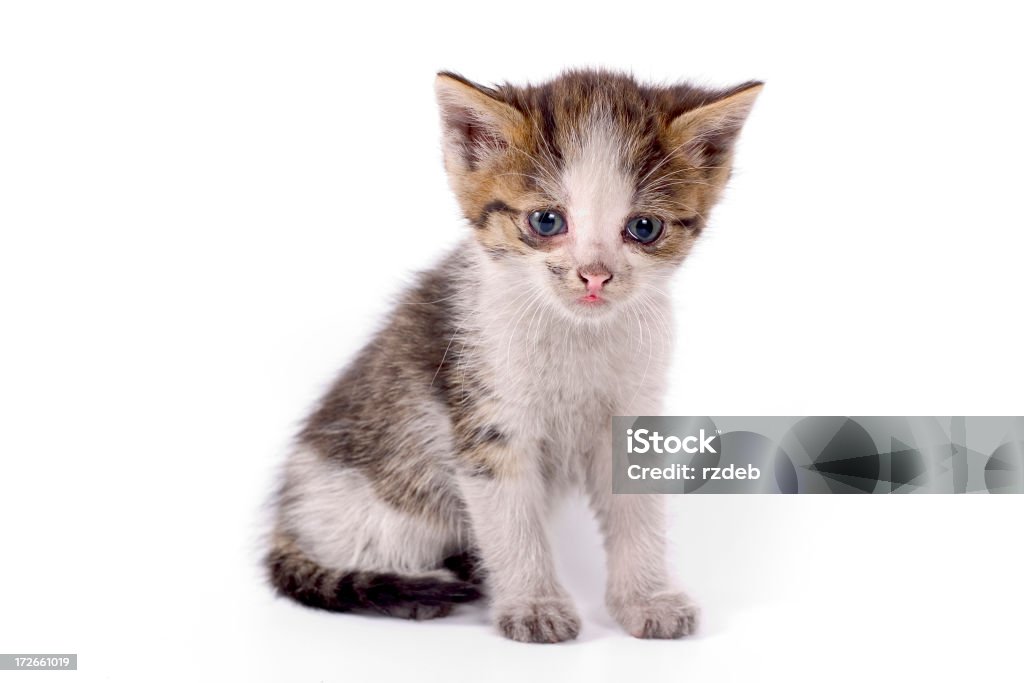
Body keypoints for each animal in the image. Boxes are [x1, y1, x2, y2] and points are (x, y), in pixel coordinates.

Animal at [264, 68, 761, 643]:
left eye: (644, 228)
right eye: (546, 222)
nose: (594, 275)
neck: (576, 336)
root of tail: (286, 517)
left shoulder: (630, 411)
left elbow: (635, 507)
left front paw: (646, 598)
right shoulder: (487, 416)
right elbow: (512, 521)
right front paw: (534, 604)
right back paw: (415, 591)